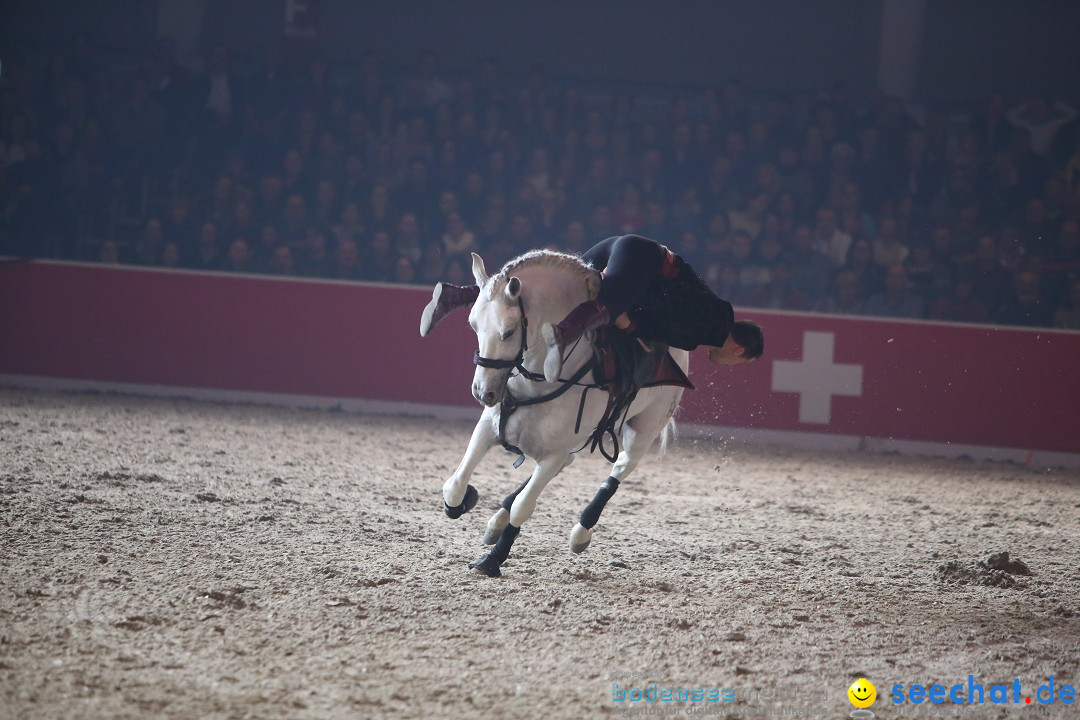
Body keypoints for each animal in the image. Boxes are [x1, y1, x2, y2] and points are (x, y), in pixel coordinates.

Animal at [440, 250, 686, 578]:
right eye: (473, 326)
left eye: (508, 332)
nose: (483, 392)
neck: (540, 378)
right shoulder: (488, 427)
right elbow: (455, 485)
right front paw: (463, 502)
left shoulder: (553, 455)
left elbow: (523, 507)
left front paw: (493, 559)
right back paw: (496, 521)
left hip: (644, 429)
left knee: (620, 469)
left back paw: (581, 531)